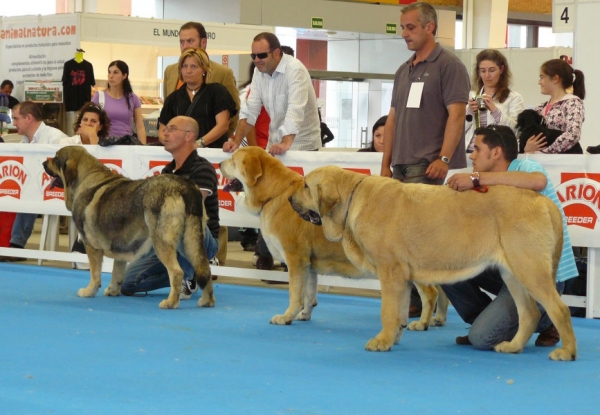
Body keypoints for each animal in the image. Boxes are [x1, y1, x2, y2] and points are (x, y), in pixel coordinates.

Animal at [41, 145, 213, 310]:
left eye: (55, 158)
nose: (43, 163)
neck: (86, 177)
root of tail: (185, 188)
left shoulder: (91, 247)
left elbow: (95, 274)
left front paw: (89, 291)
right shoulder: (121, 245)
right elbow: (117, 272)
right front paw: (113, 291)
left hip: (162, 242)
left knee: (177, 272)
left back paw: (171, 302)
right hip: (190, 242)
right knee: (204, 268)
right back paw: (207, 301)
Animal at [288, 166, 580, 360]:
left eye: (306, 186)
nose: (290, 199)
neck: (353, 198)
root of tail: (544, 200)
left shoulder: (390, 273)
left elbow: (387, 311)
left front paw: (381, 341)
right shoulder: (403, 279)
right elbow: (399, 313)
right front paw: (394, 337)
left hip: (530, 269)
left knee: (559, 309)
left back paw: (566, 351)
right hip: (513, 274)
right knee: (529, 313)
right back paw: (513, 346)